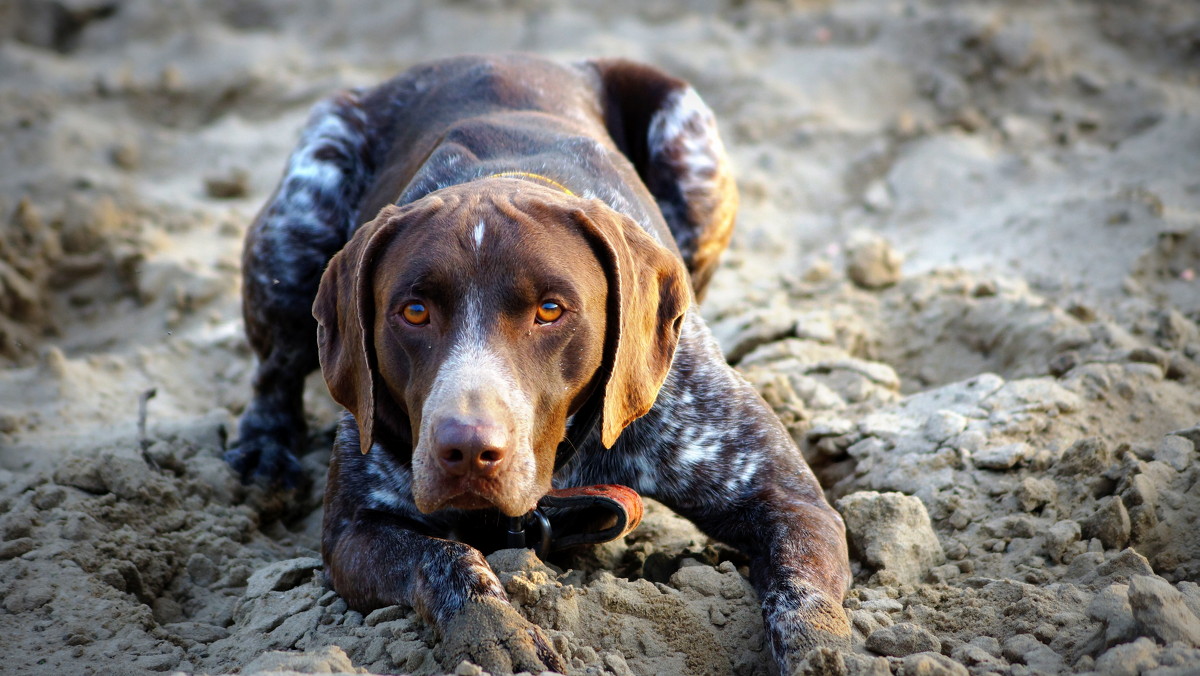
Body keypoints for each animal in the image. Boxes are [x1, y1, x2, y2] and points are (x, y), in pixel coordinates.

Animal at [231, 54, 854, 676]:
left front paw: (820, 656)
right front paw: (493, 628)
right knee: (274, 370)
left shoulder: (787, 500)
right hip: (298, 221)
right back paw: (264, 452)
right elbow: (447, 558)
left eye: (551, 310)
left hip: (694, 149)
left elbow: (803, 599)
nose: (466, 450)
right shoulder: (353, 534)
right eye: (413, 311)